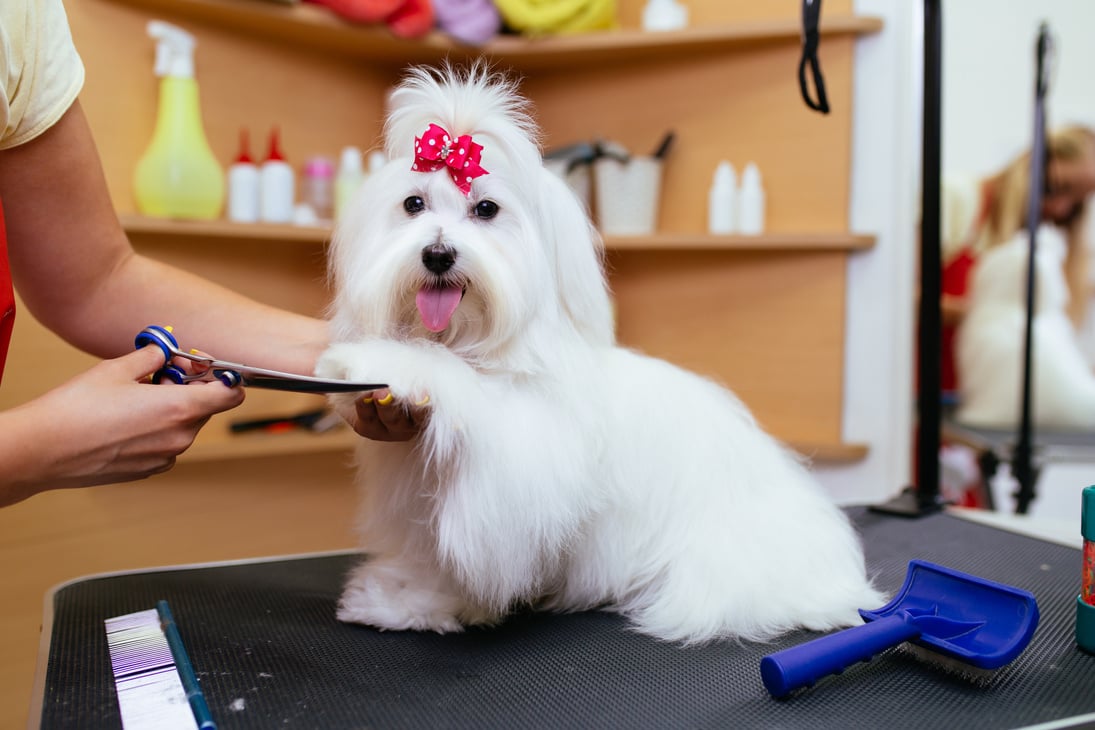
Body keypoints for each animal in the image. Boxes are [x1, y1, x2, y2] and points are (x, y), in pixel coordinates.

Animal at [317, 64, 880, 643]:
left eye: (486, 209)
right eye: (413, 205)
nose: (437, 254)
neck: (477, 344)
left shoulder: (518, 471)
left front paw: (377, 362)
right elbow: (432, 559)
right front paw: (405, 601)